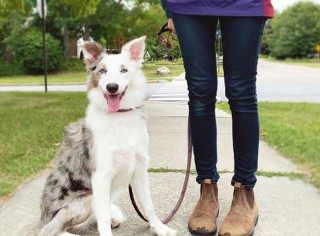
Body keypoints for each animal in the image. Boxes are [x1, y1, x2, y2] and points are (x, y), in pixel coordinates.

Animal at [39, 36, 178, 236]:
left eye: (124, 70)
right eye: (102, 71)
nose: (112, 87)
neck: (119, 116)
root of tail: (43, 217)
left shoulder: (139, 168)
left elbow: (148, 206)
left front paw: (160, 228)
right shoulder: (101, 175)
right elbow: (102, 215)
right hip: (86, 199)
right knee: (51, 230)